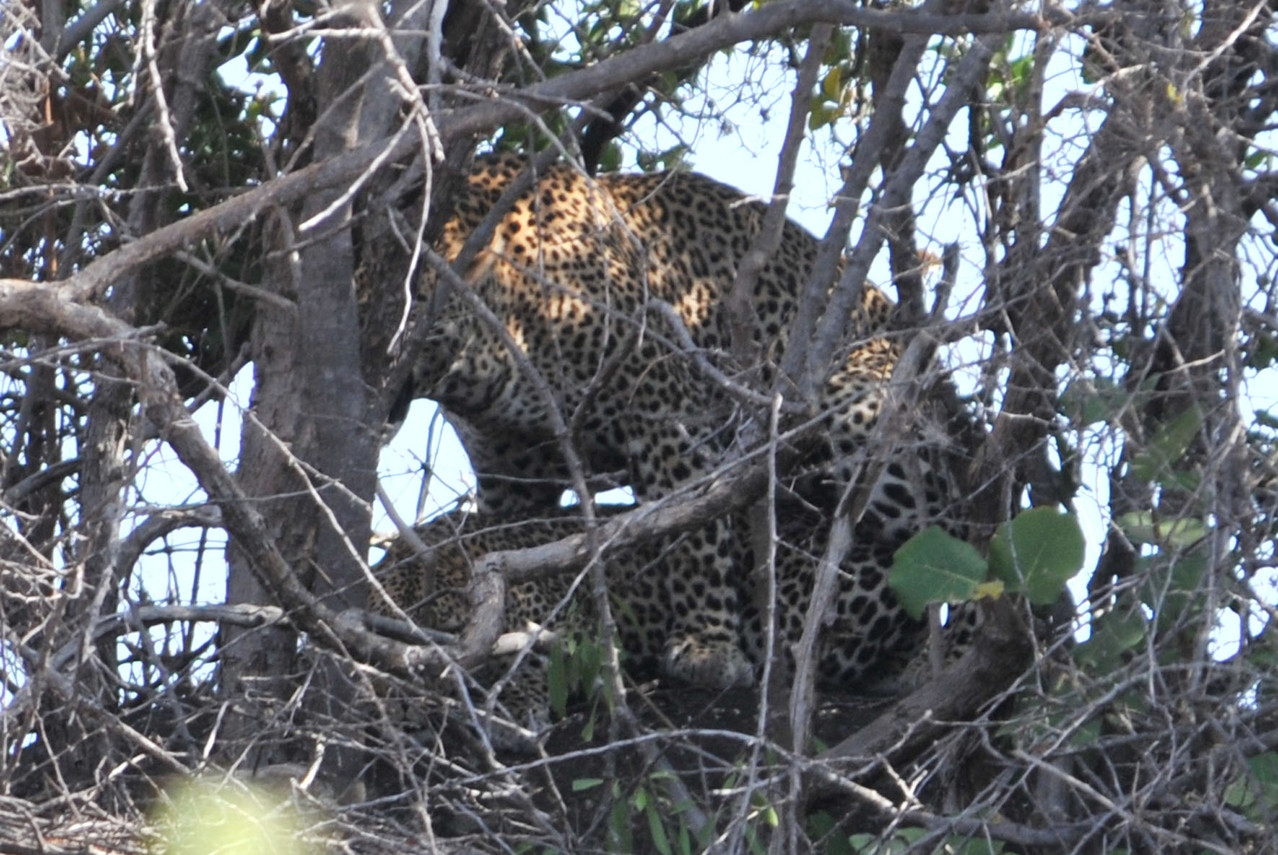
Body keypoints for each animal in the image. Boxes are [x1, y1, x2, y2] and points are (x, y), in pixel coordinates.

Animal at [373, 150, 915, 690]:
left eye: (414, 314)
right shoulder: (511, 470)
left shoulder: (667, 409)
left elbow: (693, 532)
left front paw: (708, 646)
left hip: (858, 413)